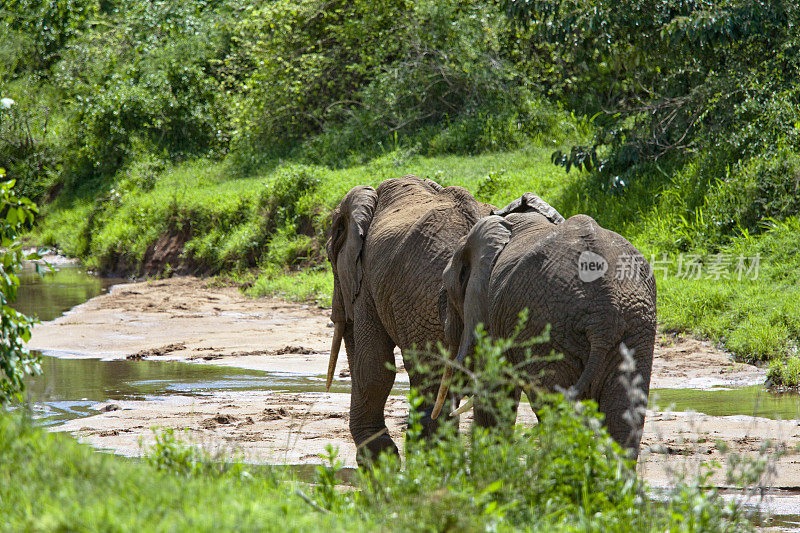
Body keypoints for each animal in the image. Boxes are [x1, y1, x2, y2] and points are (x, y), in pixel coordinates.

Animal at [326, 176, 494, 466]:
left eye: (328, 258)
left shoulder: (367, 283)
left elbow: (373, 367)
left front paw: (376, 461)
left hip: (425, 305)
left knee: (430, 379)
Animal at [432, 193, 656, 456]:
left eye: (449, 287)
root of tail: (605, 315)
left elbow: (495, 388)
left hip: (547, 327)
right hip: (635, 328)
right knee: (623, 417)